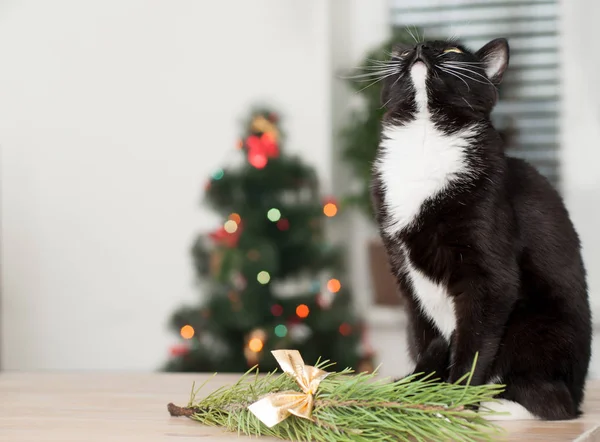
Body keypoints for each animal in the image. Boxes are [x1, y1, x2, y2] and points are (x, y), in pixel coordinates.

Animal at [370, 38, 592, 422]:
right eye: (400, 54)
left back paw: (494, 405)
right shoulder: (404, 274)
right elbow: (426, 338)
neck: (424, 138)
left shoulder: (490, 277)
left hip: (533, 328)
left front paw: (454, 405)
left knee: (552, 404)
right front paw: (418, 394)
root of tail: (579, 393)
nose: (419, 48)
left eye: (454, 53)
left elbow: (473, 346)